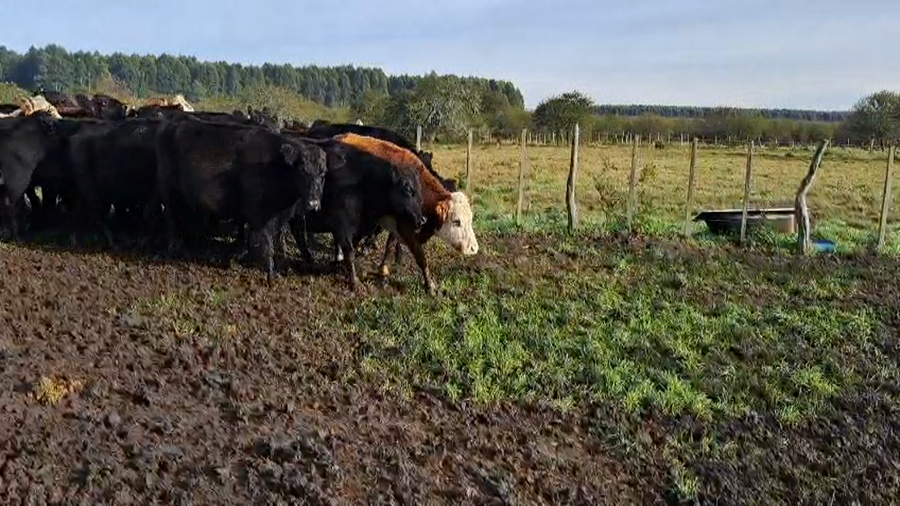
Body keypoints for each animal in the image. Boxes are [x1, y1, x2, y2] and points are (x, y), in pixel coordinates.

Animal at [154, 116, 333, 283]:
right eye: (302, 171)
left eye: (323, 173)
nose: (313, 203)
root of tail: (173, 122)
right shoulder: (260, 215)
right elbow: (266, 245)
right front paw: (271, 273)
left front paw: (236, 257)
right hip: (168, 192)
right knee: (171, 217)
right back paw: (173, 249)